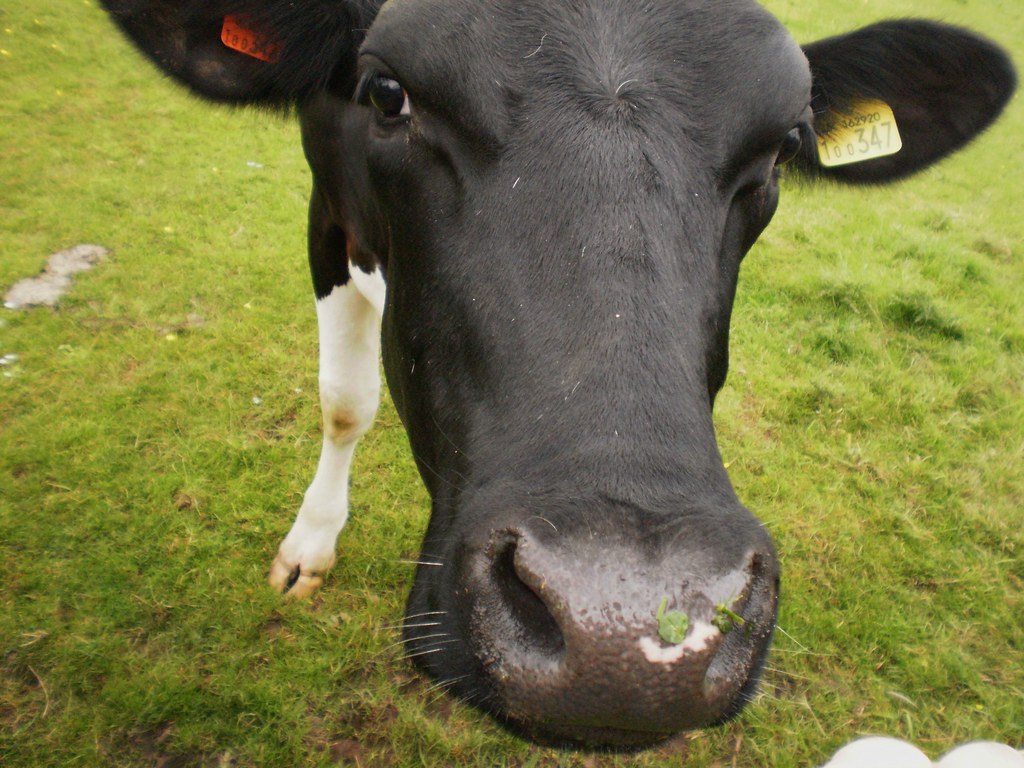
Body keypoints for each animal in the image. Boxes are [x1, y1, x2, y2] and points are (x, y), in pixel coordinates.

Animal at [100, 0, 1015, 751]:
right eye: (388, 93)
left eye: (787, 144)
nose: (626, 631)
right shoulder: (328, 213)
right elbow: (345, 402)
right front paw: (309, 546)